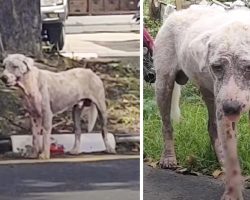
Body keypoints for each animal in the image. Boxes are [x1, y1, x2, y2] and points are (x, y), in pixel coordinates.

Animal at [154, 5, 250, 199]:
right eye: (217, 67)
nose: (230, 108)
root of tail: (174, 13)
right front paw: (233, 194)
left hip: (210, 93)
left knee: (212, 127)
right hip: (164, 84)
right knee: (166, 124)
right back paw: (168, 158)